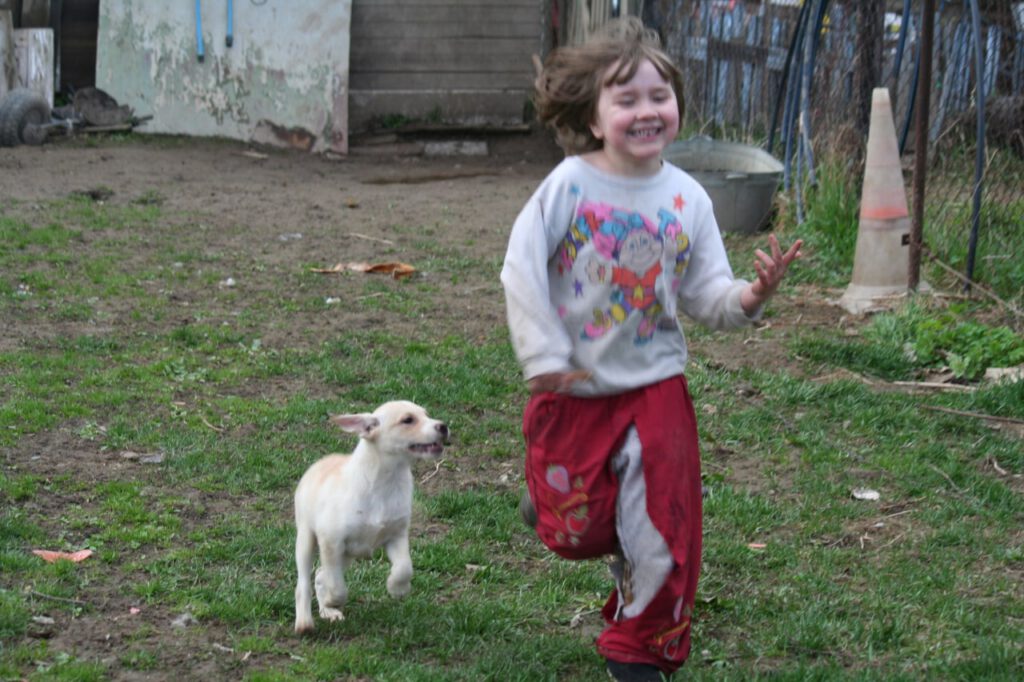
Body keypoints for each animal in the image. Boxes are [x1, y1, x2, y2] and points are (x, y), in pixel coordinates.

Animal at [293, 400, 448, 634]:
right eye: (408, 420)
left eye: (427, 415)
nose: (444, 426)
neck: (386, 481)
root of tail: (320, 462)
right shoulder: (331, 542)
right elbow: (337, 586)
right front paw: (333, 599)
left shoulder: (396, 535)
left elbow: (404, 567)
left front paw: (397, 589)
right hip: (307, 539)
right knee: (305, 581)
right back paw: (305, 622)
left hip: (346, 555)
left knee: (320, 574)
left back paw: (328, 612)